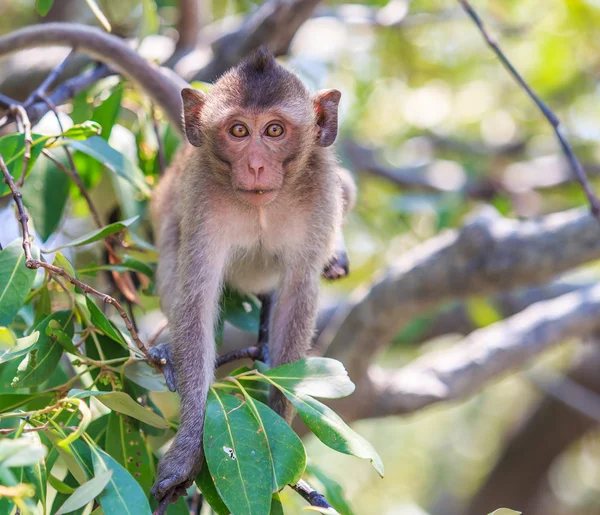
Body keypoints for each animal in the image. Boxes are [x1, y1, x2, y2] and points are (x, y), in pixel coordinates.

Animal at [145, 48, 354, 504]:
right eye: (238, 130)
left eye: (274, 130)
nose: (256, 165)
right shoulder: (202, 195)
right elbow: (196, 299)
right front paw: (186, 452)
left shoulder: (321, 191)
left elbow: (297, 294)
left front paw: (277, 426)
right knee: (171, 247)